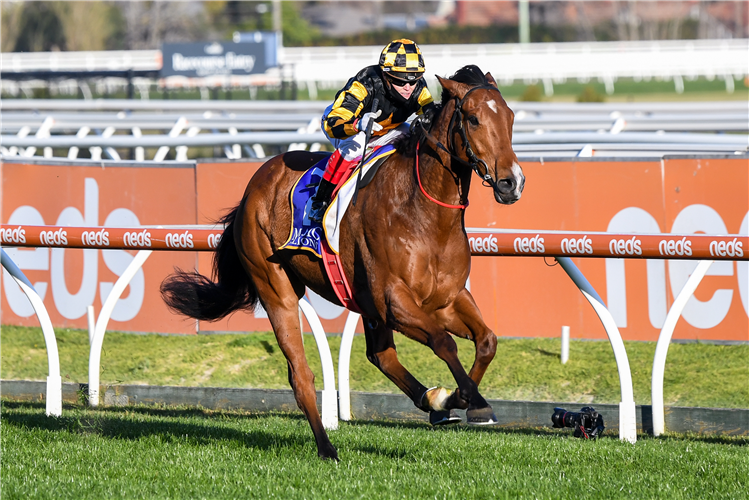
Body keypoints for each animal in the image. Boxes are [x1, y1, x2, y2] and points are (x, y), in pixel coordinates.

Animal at [162, 64, 524, 458]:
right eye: (473, 118)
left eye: (510, 117)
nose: (511, 183)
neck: (425, 214)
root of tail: (253, 186)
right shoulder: (394, 301)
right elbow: (444, 342)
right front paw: (471, 399)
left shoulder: (446, 299)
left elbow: (487, 340)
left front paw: (459, 399)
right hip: (276, 288)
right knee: (301, 374)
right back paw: (326, 447)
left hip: (363, 302)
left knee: (381, 356)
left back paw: (431, 400)